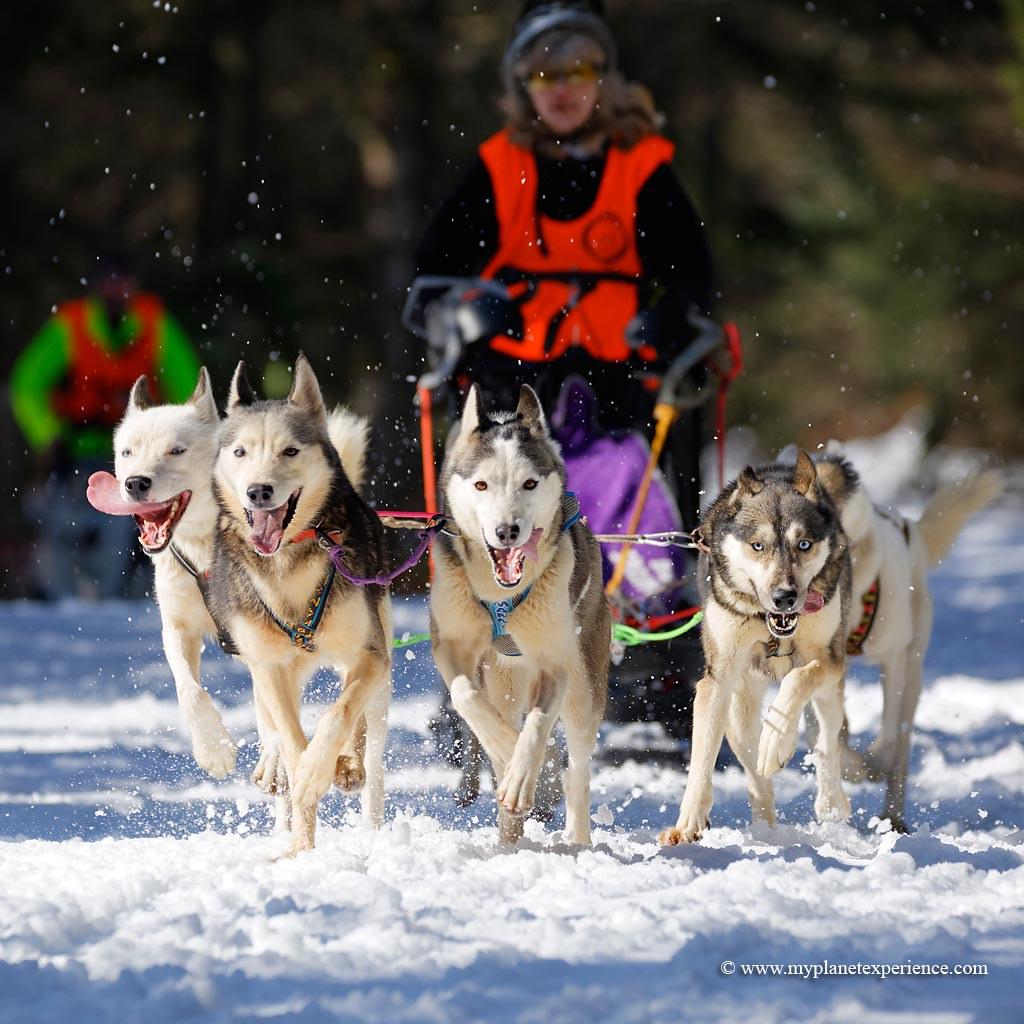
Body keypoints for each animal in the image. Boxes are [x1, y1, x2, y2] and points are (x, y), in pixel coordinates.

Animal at [86, 372, 237, 778]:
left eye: (176, 450)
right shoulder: (178, 627)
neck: (202, 549)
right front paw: (213, 748)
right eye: (127, 453)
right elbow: (189, 691)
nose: (135, 483)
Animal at [210, 356, 391, 851]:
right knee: (274, 731)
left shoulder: (370, 654)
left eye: (290, 451)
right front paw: (300, 850)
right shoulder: (269, 665)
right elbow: (292, 742)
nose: (258, 490)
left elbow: (338, 715)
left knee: (365, 733)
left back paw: (349, 769)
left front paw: (320, 770)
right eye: (241, 452)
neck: (288, 563)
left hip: (377, 671)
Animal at [430, 385, 610, 847]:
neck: (501, 595)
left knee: (577, 771)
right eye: (481, 484)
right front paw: (506, 749)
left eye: (529, 483)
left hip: (584, 689)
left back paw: (576, 836)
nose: (507, 531)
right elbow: (466, 697)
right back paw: (507, 840)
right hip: (503, 687)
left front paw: (524, 767)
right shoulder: (451, 646)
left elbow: (539, 727)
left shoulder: (555, 664)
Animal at [659, 452, 851, 843]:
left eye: (803, 544)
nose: (784, 597)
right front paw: (688, 823)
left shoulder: (830, 660)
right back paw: (765, 829)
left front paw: (778, 740)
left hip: (830, 692)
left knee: (826, 742)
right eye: (757, 546)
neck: (770, 624)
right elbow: (702, 757)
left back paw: (829, 799)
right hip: (737, 710)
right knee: (757, 776)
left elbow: (796, 682)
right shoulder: (717, 681)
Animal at [811, 450, 1003, 831]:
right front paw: (846, 763)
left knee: (900, 747)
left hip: (914, 670)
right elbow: (826, 732)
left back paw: (893, 816)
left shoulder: (895, 658)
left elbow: (886, 739)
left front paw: (869, 767)